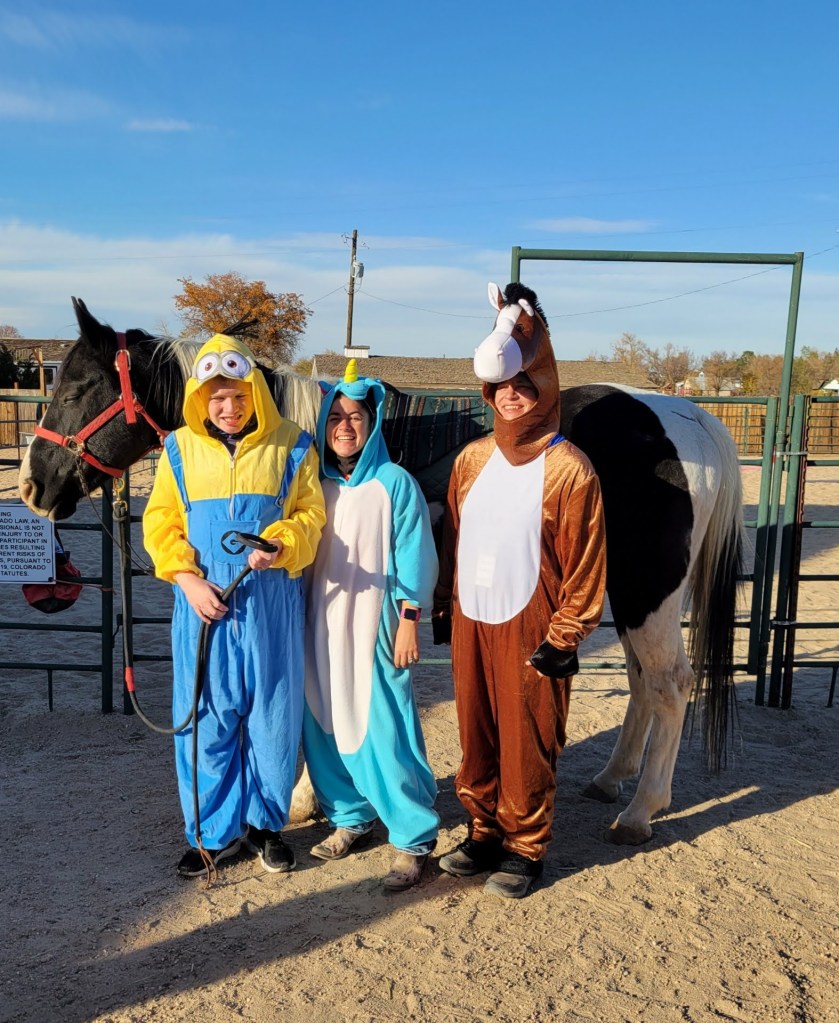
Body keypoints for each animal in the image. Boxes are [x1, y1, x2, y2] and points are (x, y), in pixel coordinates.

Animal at [18, 289, 744, 844]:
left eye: (79, 387)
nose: (32, 484)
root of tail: (686, 418)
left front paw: (302, 800)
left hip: (648, 591)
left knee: (670, 683)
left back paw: (640, 810)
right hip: (629, 593)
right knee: (643, 681)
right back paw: (610, 779)